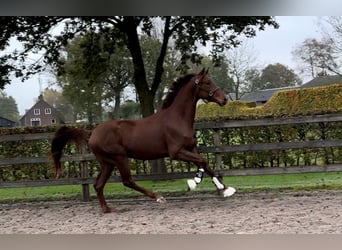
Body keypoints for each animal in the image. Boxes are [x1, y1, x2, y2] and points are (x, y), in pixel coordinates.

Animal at [51, 69, 235, 213]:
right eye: (207, 82)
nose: (225, 99)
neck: (177, 118)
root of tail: (92, 132)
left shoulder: (191, 148)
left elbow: (204, 164)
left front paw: (223, 188)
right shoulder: (176, 152)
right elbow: (203, 161)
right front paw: (200, 183)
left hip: (107, 162)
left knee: (98, 184)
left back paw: (107, 209)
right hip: (119, 158)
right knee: (127, 181)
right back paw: (158, 197)